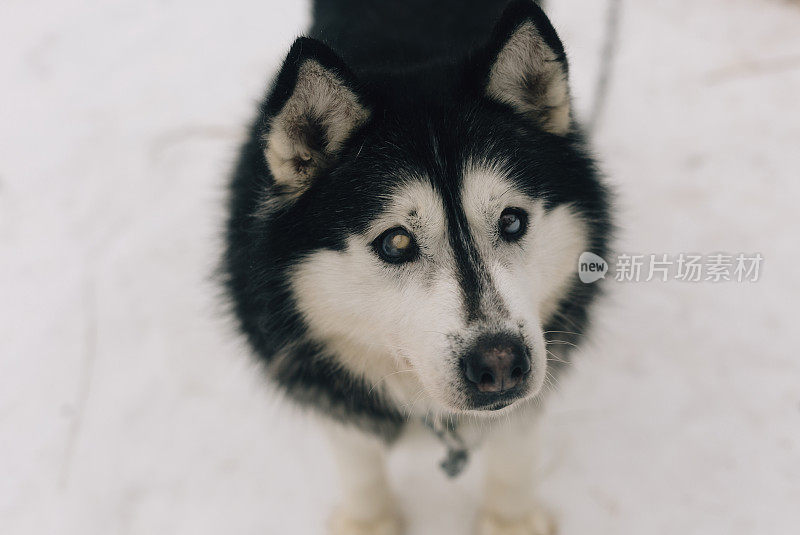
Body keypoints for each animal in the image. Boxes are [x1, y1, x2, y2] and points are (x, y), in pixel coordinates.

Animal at [225, 0, 612, 532]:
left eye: (511, 220)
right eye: (396, 243)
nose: (500, 363)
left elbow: (515, 444)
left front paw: (509, 518)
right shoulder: (325, 388)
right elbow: (357, 456)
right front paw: (369, 520)